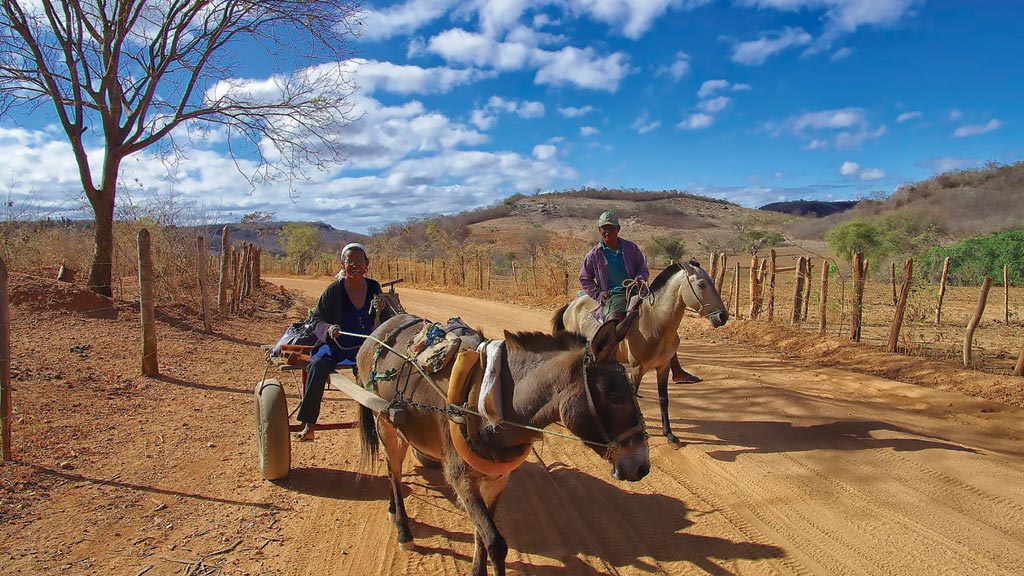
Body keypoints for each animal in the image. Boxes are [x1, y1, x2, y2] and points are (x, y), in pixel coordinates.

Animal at [356, 313, 651, 573]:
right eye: (613, 395)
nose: (642, 466)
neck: (489, 400)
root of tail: (380, 328)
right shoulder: (461, 478)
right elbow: (495, 543)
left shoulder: (495, 480)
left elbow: (481, 536)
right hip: (386, 426)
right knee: (393, 470)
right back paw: (403, 530)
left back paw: (392, 509)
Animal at [552, 260, 729, 444]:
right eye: (701, 284)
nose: (723, 316)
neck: (655, 322)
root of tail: (571, 305)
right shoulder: (637, 369)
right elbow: (634, 397)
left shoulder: (663, 367)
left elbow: (663, 399)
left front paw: (669, 433)